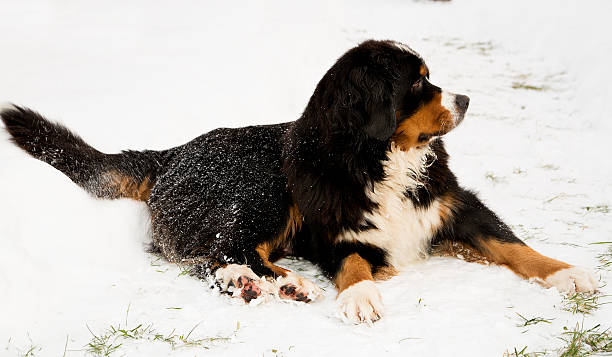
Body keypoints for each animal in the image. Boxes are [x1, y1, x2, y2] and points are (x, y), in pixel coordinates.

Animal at [0, 39, 596, 322]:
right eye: (418, 83)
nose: (467, 99)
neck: (377, 160)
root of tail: (171, 155)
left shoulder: (451, 204)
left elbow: (511, 243)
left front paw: (565, 273)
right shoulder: (333, 231)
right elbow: (354, 263)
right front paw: (360, 298)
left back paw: (267, 283)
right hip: (262, 188)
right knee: (219, 249)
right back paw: (260, 281)